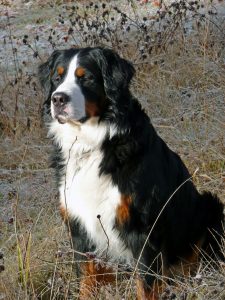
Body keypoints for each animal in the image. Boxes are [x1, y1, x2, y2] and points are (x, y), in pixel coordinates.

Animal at [38, 47, 223, 300]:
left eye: (86, 77)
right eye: (57, 78)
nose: (57, 98)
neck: (91, 144)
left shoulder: (142, 229)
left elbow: (145, 285)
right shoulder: (79, 228)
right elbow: (87, 280)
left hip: (210, 208)